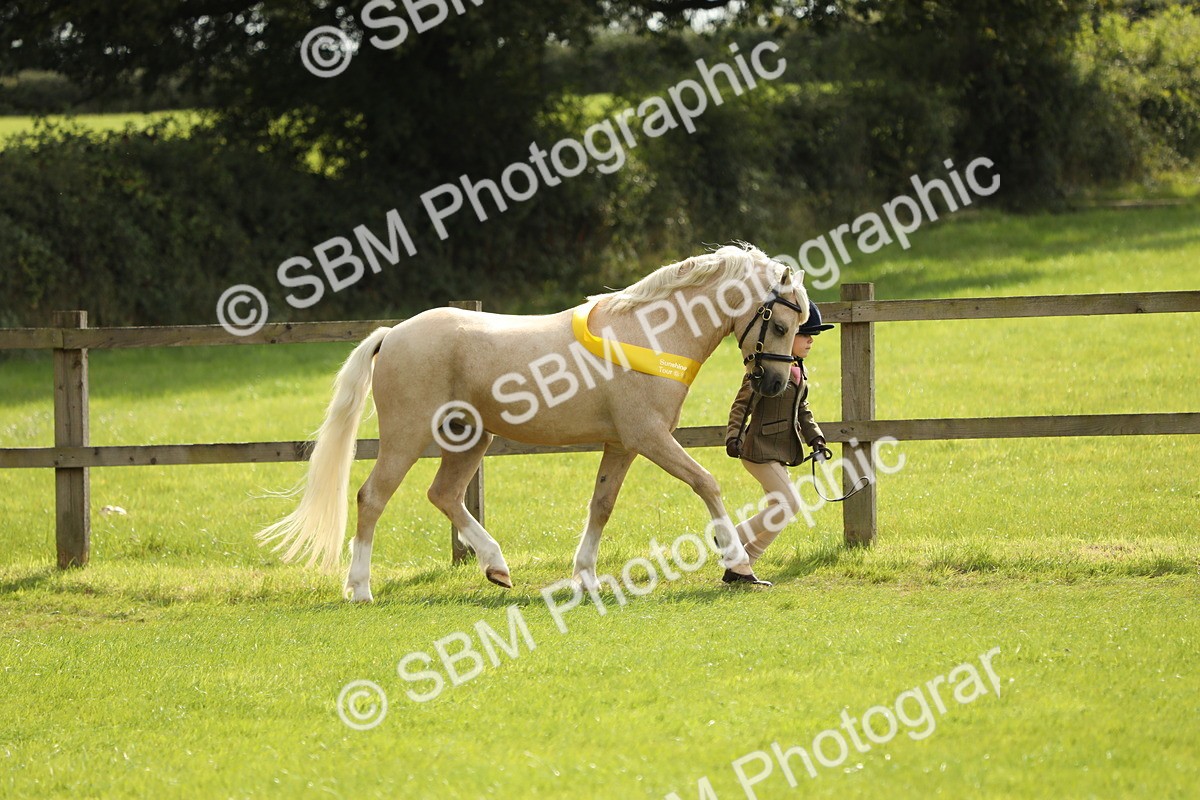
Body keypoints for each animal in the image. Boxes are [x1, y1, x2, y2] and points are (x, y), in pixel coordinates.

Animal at [256, 242, 809, 601]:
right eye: (781, 324)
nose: (774, 384)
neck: (651, 332)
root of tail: (391, 335)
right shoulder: (650, 437)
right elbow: (707, 483)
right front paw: (738, 565)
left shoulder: (622, 444)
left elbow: (601, 506)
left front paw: (585, 578)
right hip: (405, 438)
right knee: (372, 497)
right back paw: (360, 588)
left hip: (470, 439)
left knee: (444, 495)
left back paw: (497, 568)